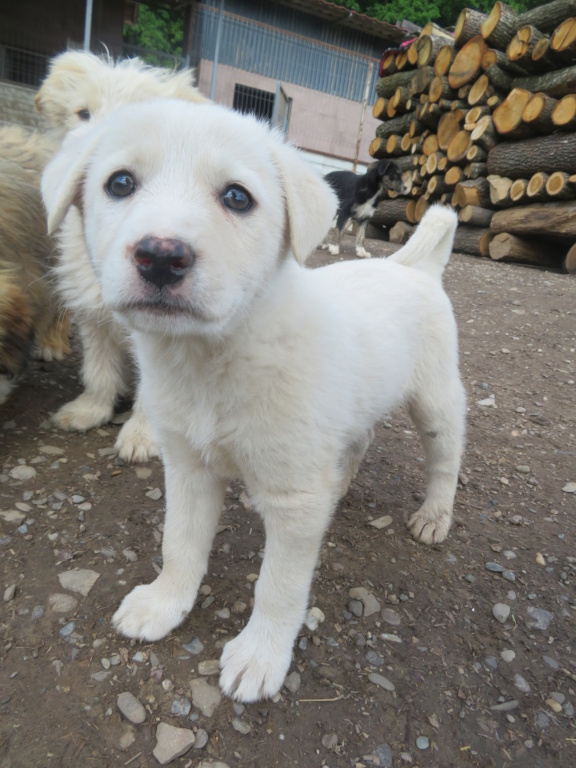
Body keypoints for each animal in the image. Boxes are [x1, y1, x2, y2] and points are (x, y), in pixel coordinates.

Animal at [44, 100, 468, 704]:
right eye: (119, 183)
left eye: (238, 197)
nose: (161, 256)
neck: (213, 359)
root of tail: (412, 267)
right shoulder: (188, 469)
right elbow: (179, 544)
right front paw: (165, 603)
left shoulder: (292, 503)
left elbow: (278, 587)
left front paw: (261, 655)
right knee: (358, 439)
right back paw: (340, 486)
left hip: (435, 398)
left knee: (446, 457)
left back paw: (434, 515)